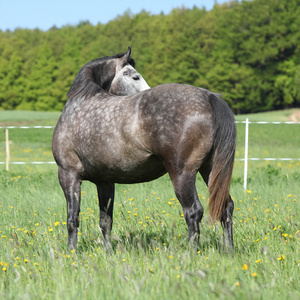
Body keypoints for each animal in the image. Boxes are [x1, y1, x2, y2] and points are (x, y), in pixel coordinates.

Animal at [53, 47, 237, 253]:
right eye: (135, 77)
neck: (81, 103)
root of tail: (209, 97)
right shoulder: (105, 181)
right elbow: (105, 221)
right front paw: (108, 252)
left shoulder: (69, 175)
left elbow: (72, 219)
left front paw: (71, 252)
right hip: (210, 170)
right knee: (226, 207)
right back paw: (229, 250)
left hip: (182, 174)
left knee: (193, 212)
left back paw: (190, 253)